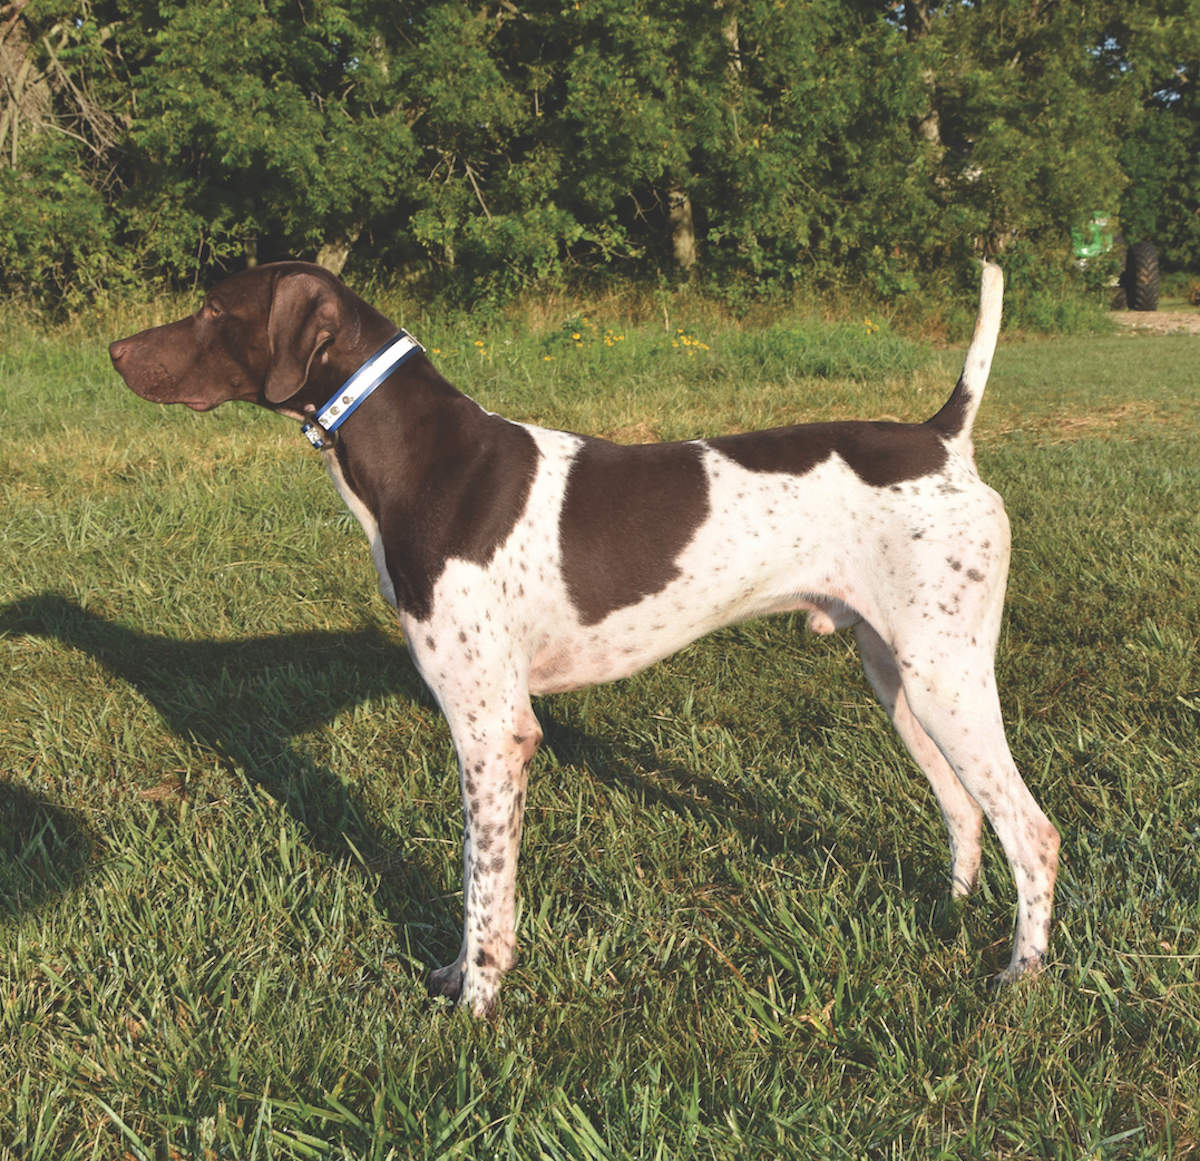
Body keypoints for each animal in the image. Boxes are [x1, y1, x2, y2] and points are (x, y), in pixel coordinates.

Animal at [108, 262, 1056, 1017]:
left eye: (213, 309)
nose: (114, 352)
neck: (417, 459)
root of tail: (943, 439)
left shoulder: (494, 731)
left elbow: (485, 887)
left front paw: (477, 1003)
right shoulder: (483, 729)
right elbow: (474, 877)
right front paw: (455, 976)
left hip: (945, 681)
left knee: (1034, 833)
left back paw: (1020, 978)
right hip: (898, 681)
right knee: (967, 811)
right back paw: (950, 916)